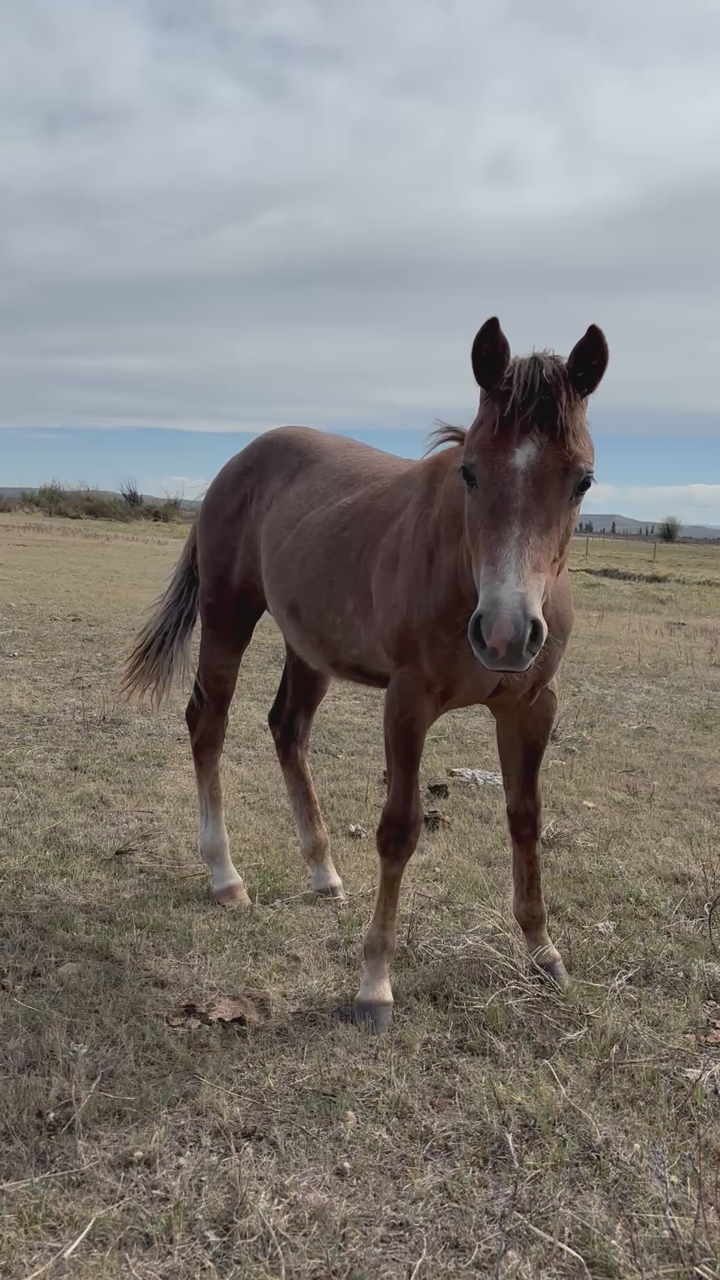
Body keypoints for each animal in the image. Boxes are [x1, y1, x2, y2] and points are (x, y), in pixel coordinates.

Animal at [122, 317, 608, 1030]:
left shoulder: (532, 706)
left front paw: (542, 950)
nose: (504, 633)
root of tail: (240, 460)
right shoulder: (407, 703)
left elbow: (526, 818)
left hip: (310, 648)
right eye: (470, 472)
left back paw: (323, 872)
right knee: (208, 724)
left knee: (287, 730)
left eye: (582, 481)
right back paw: (225, 876)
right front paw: (374, 983)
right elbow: (399, 830)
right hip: (228, 617)